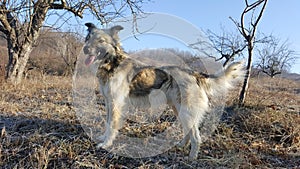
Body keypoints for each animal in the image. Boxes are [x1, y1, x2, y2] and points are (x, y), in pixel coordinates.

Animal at [83, 22, 245, 160]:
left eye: (101, 41)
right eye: (89, 38)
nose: (85, 49)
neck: (112, 64)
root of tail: (194, 73)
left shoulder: (116, 104)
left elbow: (111, 125)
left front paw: (106, 144)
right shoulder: (108, 102)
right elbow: (107, 124)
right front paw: (103, 139)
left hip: (186, 112)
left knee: (196, 137)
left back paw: (192, 158)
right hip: (179, 109)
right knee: (188, 132)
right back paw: (181, 146)